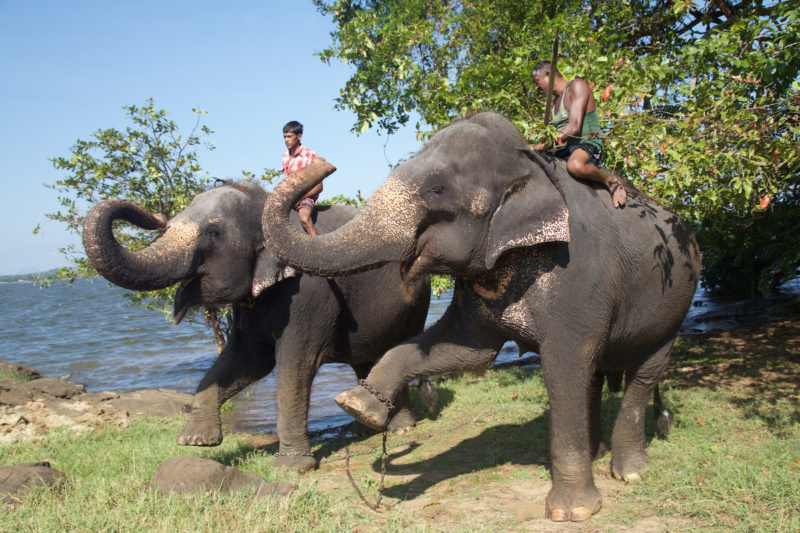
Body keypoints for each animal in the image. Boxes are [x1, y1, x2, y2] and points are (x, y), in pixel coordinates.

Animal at [81, 179, 432, 470]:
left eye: (213, 233)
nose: (154, 216)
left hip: (418, 298)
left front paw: (293, 467)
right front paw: (196, 441)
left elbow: (296, 363)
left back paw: (402, 428)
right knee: (366, 358)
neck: (265, 207)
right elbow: (247, 360)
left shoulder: (311, 293)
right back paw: (372, 425)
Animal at [260, 112, 700, 520]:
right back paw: (598, 453)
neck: (530, 168)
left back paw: (630, 471)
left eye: (436, 189)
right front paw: (359, 405)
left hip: (675, 306)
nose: (321, 162)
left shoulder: (578, 275)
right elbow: (468, 351)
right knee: (594, 376)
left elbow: (564, 365)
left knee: (643, 374)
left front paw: (572, 511)